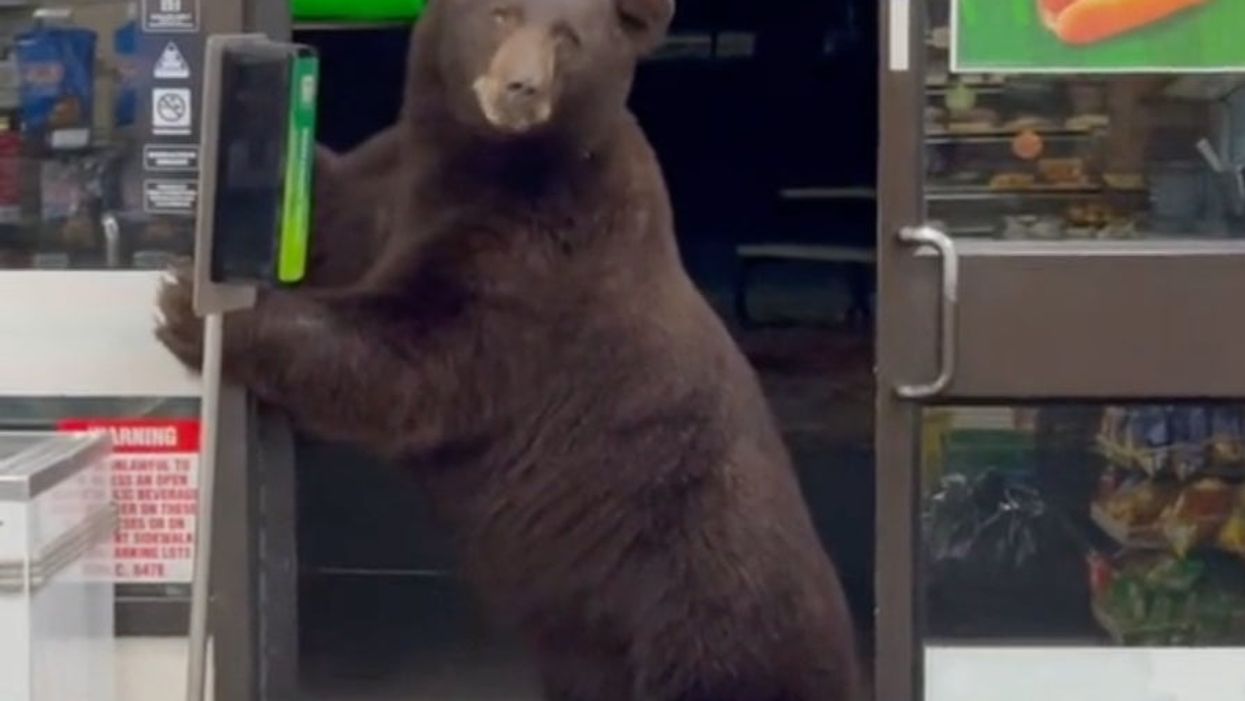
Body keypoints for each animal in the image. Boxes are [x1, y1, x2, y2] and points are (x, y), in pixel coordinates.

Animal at [156, 0, 861, 699]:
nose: (521, 87)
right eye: (501, 13)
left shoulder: (539, 259)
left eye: (569, 36)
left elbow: (416, 357)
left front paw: (197, 309)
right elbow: (333, 211)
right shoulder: (388, 186)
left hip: (706, 615)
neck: (483, 160)